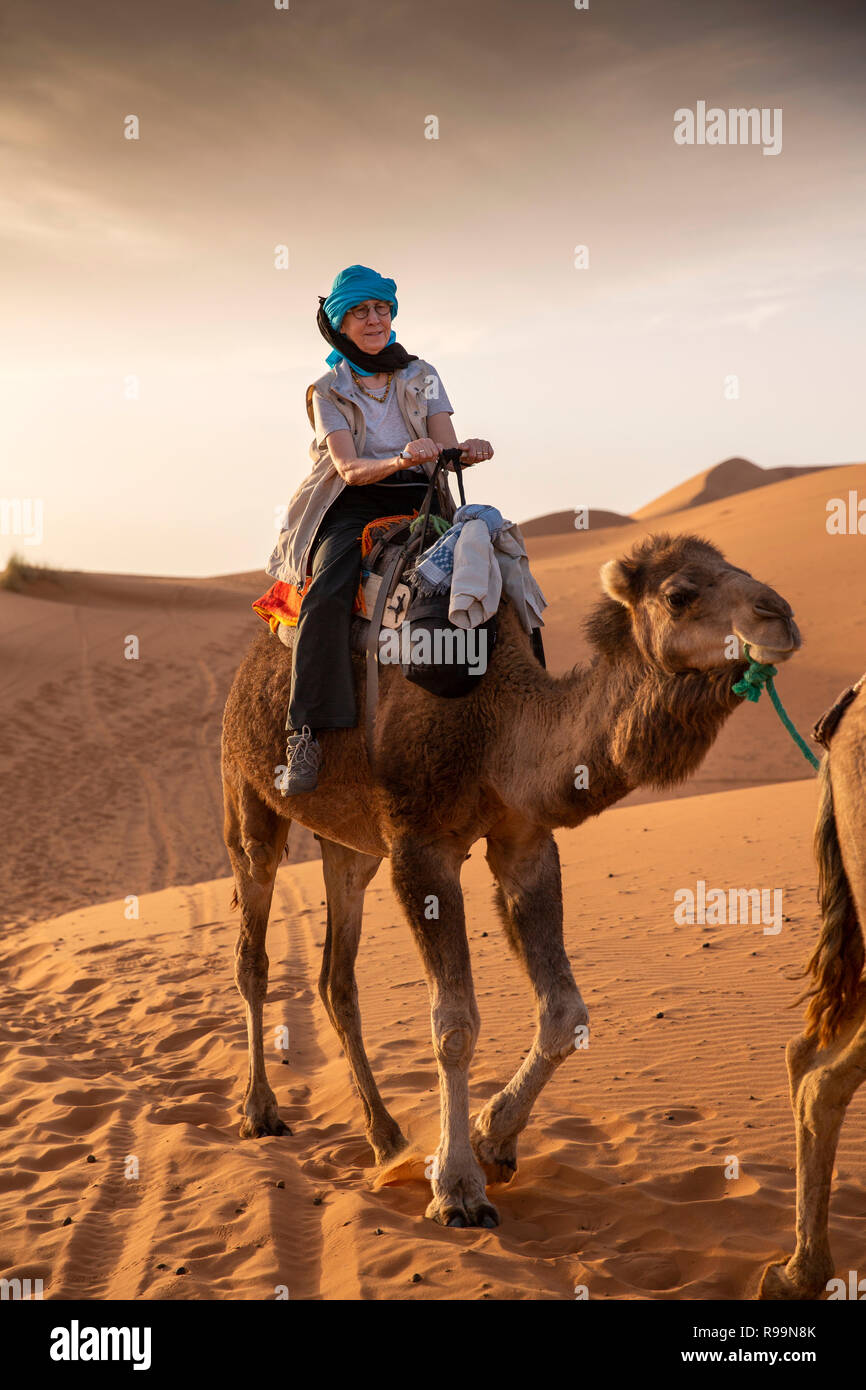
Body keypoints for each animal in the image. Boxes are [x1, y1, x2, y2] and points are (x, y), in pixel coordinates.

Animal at [222, 530, 800, 1228]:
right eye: (679, 594)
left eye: (737, 568)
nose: (780, 616)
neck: (498, 723)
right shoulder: (419, 846)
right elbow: (454, 1025)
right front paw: (457, 1189)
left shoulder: (524, 841)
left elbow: (564, 1012)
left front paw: (493, 1139)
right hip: (248, 795)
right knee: (253, 953)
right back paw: (261, 1112)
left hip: (349, 844)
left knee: (338, 978)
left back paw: (386, 1137)